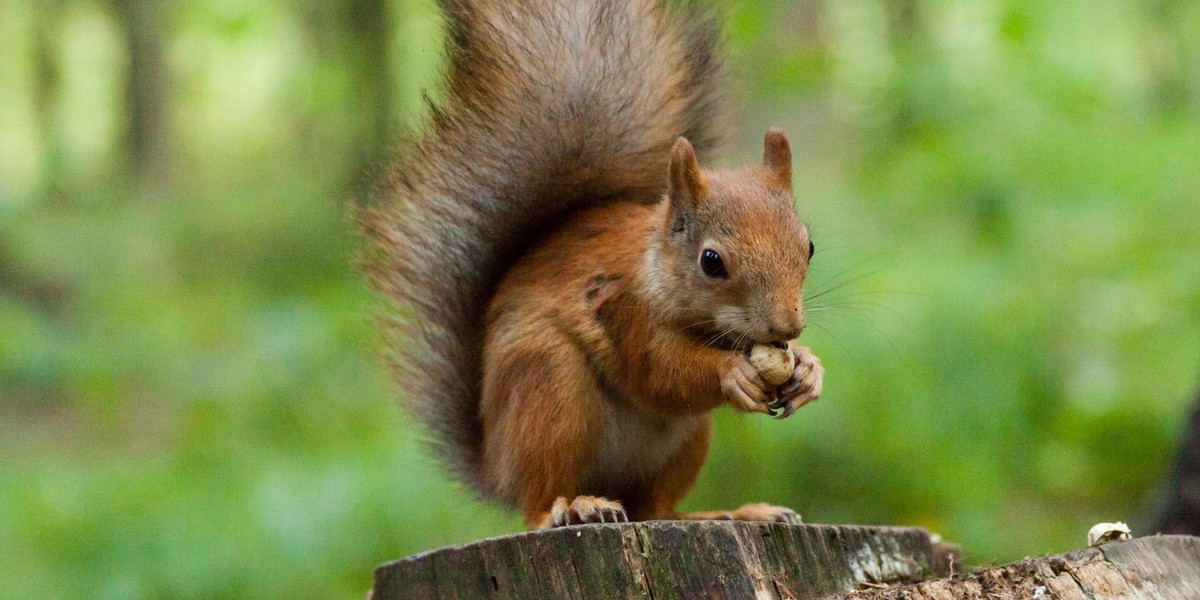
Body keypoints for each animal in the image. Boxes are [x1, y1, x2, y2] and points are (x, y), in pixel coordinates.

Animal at [355, 0, 825, 530]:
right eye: (711, 261)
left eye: (808, 246)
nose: (788, 325)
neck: (656, 271)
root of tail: (497, 465)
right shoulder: (623, 309)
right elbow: (659, 370)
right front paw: (732, 372)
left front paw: (808, 368)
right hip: (549, 386)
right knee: (542, 499)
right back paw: (573, 505)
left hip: (685, 441)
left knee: (655, 507)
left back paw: (727, 512)